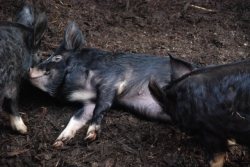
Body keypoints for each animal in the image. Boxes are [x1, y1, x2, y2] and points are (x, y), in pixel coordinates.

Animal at [28, 21, 199, 147]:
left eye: (57, 58)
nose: (29, 69)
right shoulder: (88, 102)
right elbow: (77, 118)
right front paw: (58, 142)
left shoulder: (112, 80)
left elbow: (101, 107)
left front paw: (90, 137)